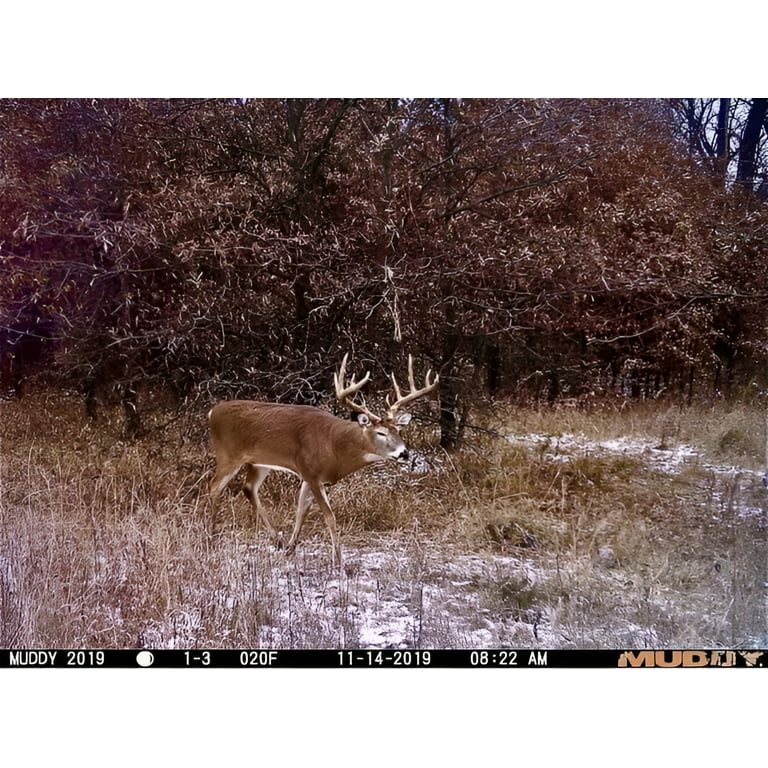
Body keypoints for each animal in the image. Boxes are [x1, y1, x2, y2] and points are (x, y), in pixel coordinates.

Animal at [207, 354, 439, 566]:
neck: (335, 446)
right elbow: (329, 516)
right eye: (381, 433)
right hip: (228, 454)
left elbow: (301, 511)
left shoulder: (309, 476)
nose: (404, 453)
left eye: (398, 430)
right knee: (214, 488)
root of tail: (212, 412)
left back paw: (276, 540)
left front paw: (291, 548)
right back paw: (211, 536)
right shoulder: (311, 473)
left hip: (259, 462)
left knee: (249, 488)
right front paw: (339, 561)